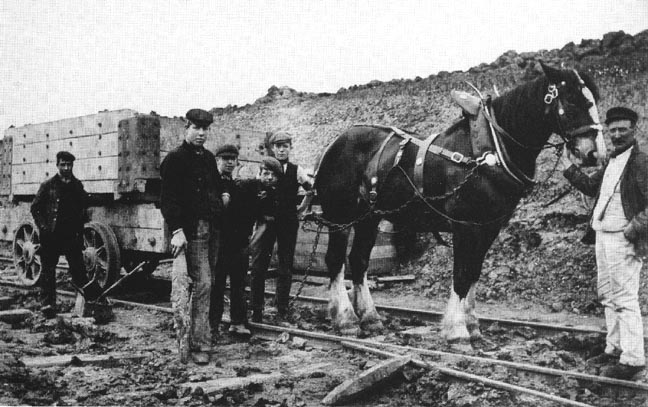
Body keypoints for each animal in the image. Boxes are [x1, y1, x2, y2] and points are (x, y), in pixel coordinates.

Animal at [314, 63, 608, 342]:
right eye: (572, 101)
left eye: (592, 100)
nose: (595, 154)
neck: (490, 152)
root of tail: (336, 143)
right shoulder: (465, 226)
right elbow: (461, 274)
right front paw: (457, 330)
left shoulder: (489, 227)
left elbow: (474, 272)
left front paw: (473, 325)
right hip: (340, 215)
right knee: (336, 261)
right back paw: (346, 319)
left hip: (368, 218)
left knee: (359, 261)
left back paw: (370, 317)